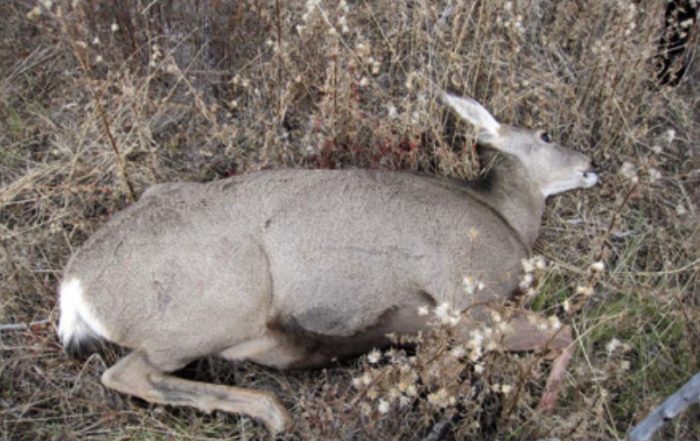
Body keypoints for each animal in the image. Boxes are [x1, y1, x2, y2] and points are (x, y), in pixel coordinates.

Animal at [57, 93, 599, 433]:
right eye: (546, 134)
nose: (592, 165)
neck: (502, 217)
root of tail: (75, 284)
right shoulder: (470, 304)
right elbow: (562, 334)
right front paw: (547, 406)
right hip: (218, 308)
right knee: (129, 373)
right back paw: (273, 411)